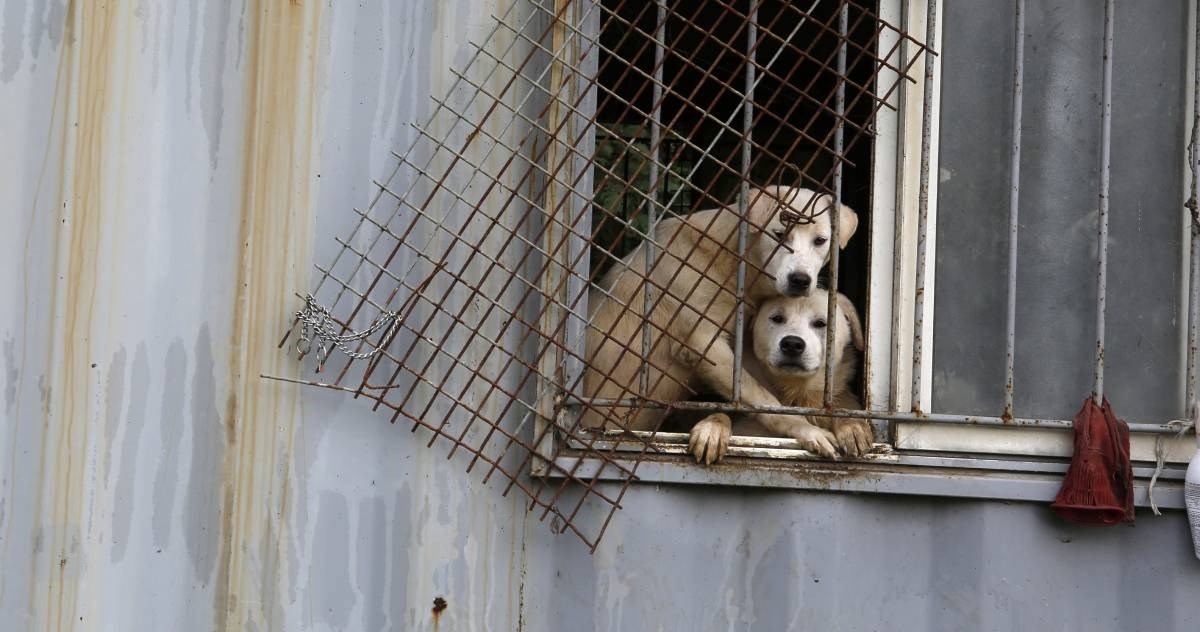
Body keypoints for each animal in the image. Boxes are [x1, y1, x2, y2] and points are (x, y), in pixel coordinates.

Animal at [578, 185, 854, 458]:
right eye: (779, 235)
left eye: (820, 241)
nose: (800, 280)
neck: (731, 259)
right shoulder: (703, 345)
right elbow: (762, 398)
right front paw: (807, 430)